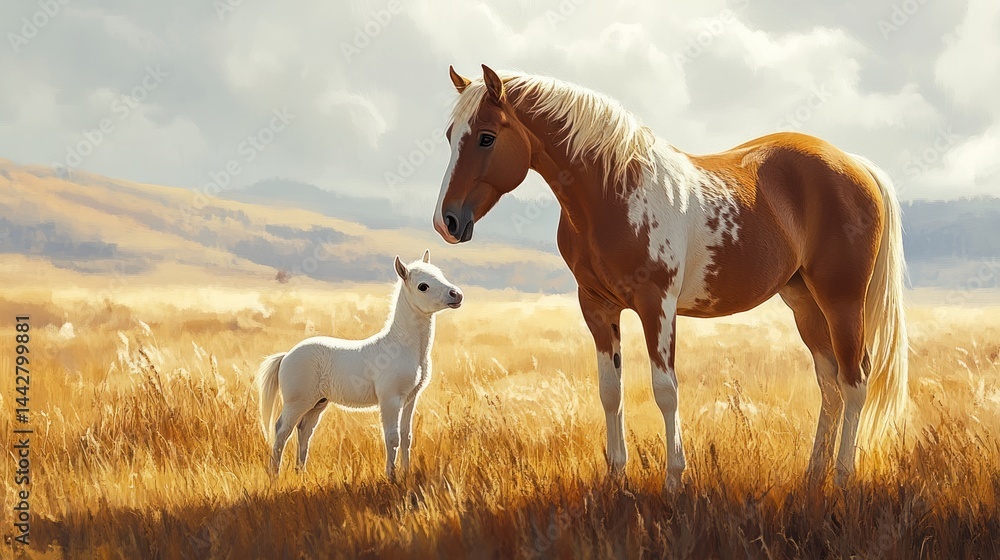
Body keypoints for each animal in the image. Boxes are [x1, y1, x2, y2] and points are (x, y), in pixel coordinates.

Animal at [256, 251, 464, 479]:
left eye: (440, 274)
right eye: (423, 286)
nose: (457, 295)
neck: (402, 348)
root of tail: (286, 355)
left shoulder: (410, 399)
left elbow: (406, 436)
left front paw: (406, 473)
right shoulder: (391, 399)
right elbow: (392, 437)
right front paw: (391, 477)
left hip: (318, 403)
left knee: (304, 431)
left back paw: (301, 472)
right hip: (297, 402)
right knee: (282, 430)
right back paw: (274, 475)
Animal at [433, 65, 908, 488]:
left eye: (487, 137)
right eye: (450, 136)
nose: (447, 222)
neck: (613, 190)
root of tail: (855, 165)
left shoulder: (656, 305)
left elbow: (665, 389)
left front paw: (674, 480)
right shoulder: (597, 307)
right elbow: (610, 391)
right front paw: (616, 477)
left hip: (842, 300)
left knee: (854, 381)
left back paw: (843, 479)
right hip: (804, 302)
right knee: (830, 384)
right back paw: (813, 478)